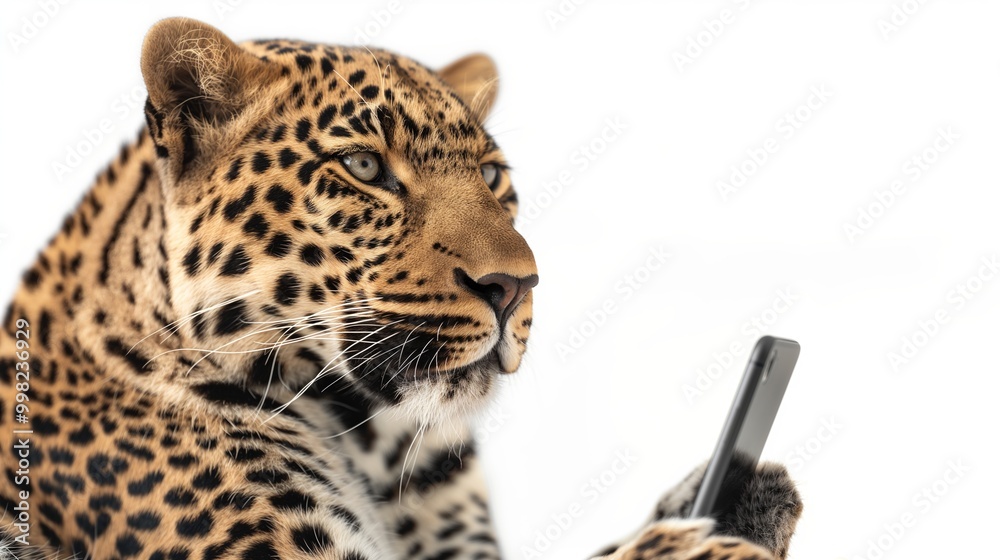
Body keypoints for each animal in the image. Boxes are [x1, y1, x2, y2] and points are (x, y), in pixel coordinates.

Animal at [0, 17, 802, 560]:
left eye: (491, 176)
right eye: (363, 166)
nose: (514, 286)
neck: (376, 444)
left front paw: (739, 498)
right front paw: (689, 539)